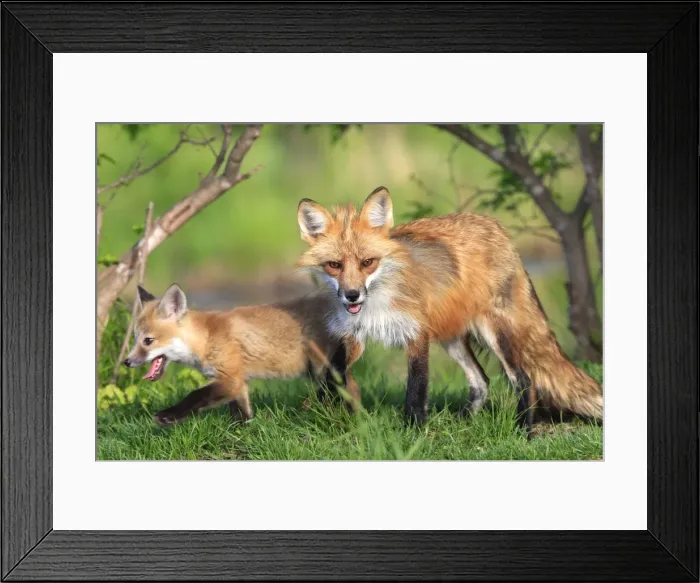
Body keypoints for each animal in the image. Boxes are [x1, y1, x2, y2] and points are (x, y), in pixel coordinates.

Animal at [123, 283, 350, 425]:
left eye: (148, 341)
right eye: (135, 339)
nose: (126, 361)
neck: (206, 339)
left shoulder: (230, 378)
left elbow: (195, 395)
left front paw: (169, 415)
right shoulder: (239, 382)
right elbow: (242, 414)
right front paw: (243, 432)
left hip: (323, 371)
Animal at [295, 186, 603, 437]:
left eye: (367, 262)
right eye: (334, 265)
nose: (352, 295)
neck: (377, 301)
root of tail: (498, 228)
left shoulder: (416, 333)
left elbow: (416, 389)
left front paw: (413, 431)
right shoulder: (353, 334)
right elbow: (332, 372)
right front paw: (325, 405)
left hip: (494, 334)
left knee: (524, 379)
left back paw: (523, 430)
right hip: (451, 338)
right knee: (481, 381)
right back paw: (463, 423)